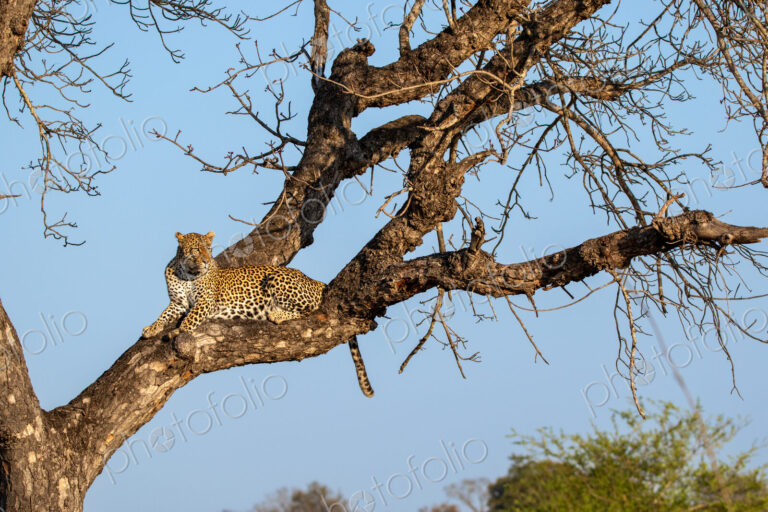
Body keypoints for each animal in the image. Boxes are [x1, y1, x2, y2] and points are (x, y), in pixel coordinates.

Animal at [142, 231, 374, 397]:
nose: (206, 261)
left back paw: (277, 314)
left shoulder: (204, 302)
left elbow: (190, 318)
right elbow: (163, 314)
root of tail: (314, 280)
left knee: (310, 308)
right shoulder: (178, 303)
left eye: (209, 250)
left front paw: (178, 330)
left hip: (276, 277)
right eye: (197, 250)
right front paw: (151, 328)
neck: (186, 273)